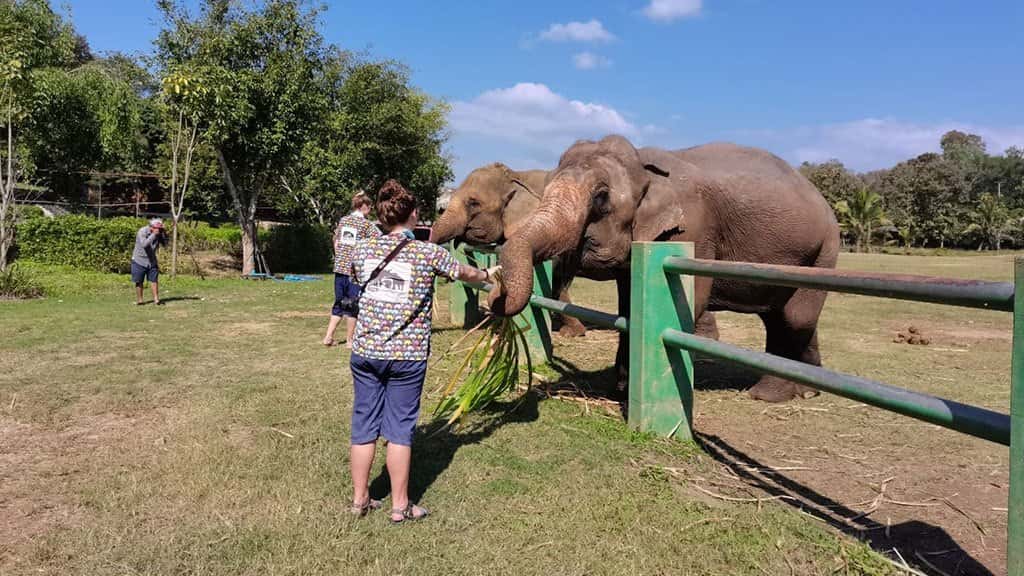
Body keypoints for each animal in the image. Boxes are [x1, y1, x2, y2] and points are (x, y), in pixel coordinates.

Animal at [488, 135, 840, 403]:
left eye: (601, 197)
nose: (496, 294)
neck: (645, 166)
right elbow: (628, 307)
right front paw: (620, 389)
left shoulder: (692, 228)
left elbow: (688, 302)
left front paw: (627, 392)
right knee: (783, 318)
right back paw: (807, 392)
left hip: (824, 251)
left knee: (796, 317)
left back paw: (767, 395)